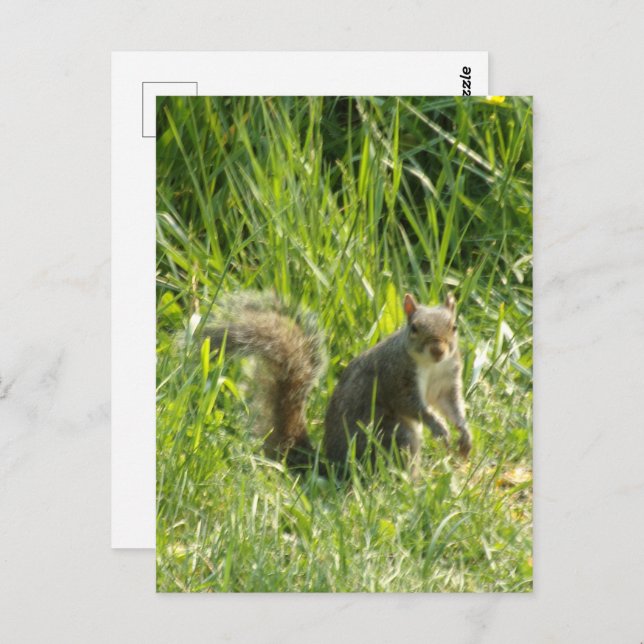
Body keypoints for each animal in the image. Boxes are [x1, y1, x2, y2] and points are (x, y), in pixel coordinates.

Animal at [200, 291, 471, 476]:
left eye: (454, 326)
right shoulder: (395, 377)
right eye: (414, 328)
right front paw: (439, 427)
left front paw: (463, 433)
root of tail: (332, 465)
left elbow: (452, 405)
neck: (432, 366)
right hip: (391, 435)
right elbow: (412, 406)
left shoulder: (448, 380)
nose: (438, 350)